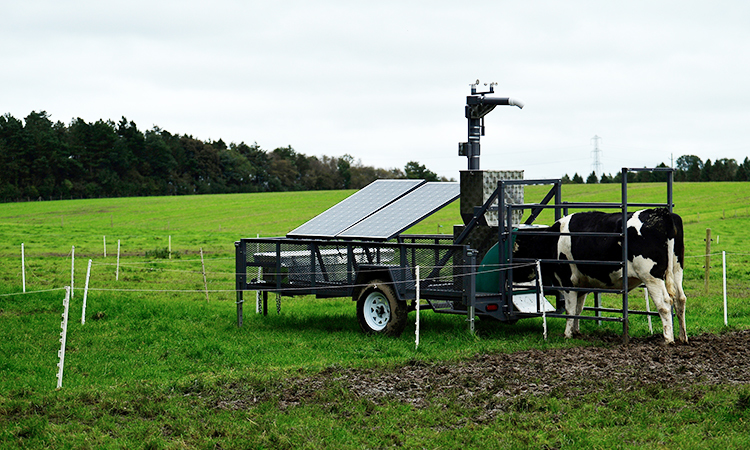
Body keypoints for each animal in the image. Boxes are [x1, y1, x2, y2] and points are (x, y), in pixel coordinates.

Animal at [516, 208, 688, 344]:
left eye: (517, 251)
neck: (553, 240)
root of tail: (662, 213)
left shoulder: (567, 281)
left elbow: (570, 310)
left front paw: (567, 334)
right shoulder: (581, 284)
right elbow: (578, 309)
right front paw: (576, 331)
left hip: (651, 277)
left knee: (664, 303)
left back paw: (668, 339)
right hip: (677, 270)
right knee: (680, 299)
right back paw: (682, 337)